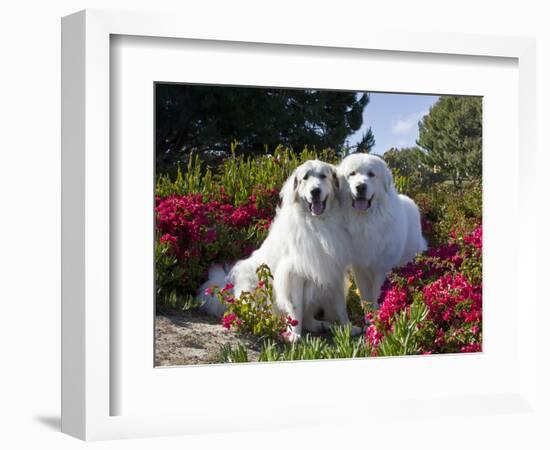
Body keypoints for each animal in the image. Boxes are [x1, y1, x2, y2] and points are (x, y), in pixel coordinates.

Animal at [201, 161, 360, 342]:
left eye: (323, 176)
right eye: (305, 177)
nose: (315, 191)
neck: (318, 223)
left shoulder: (335, 270)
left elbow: (341, 306)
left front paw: (348, 328)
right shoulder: (294, 274)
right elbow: (296, 308)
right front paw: (294, 334)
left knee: (309, 317)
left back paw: (320, 324)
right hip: (254, 286)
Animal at [338, 153, 430, 308]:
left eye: (371, 174)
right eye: (352, 174)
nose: (360, 187)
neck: (365, 220)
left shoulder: (382, 268)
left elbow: (377, 296)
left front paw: (378, 312)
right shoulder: (360, 268)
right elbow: (365, 297)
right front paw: (369, 314)